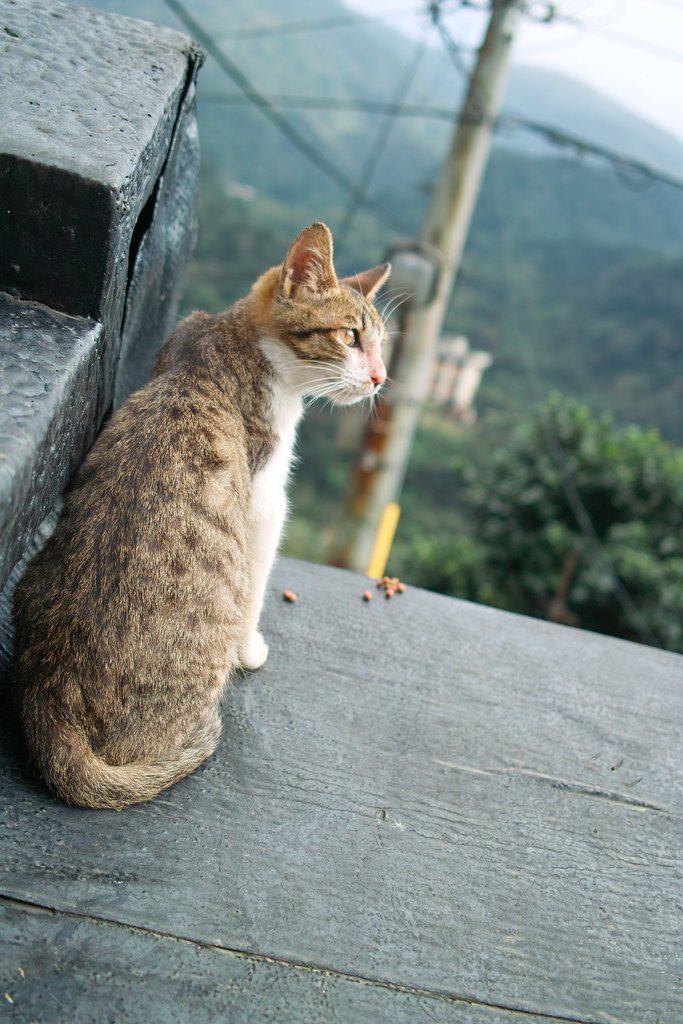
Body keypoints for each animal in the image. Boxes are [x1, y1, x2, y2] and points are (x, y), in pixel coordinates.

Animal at [12, 222, 389, 806]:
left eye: (380, 342)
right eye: (350, 337)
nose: (380, 377)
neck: (236, 340)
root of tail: (50, 698)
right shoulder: (264, 505)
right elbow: (257, 583)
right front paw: (250, 649)